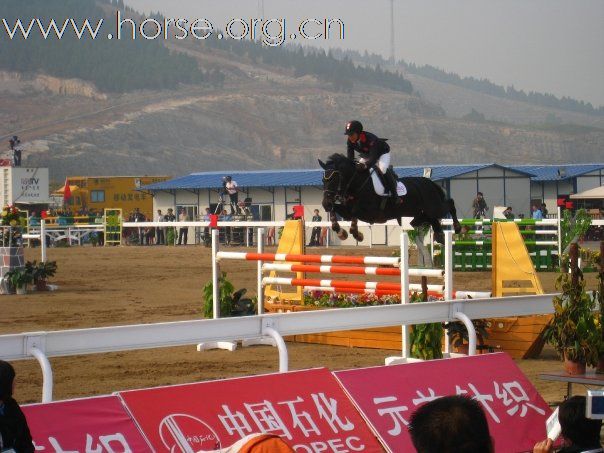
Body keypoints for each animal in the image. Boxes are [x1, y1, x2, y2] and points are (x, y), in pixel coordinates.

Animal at [320, 153, 462, 245]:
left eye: (334, 179)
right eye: (323, 180)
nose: (325, 204)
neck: (359, 183)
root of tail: (430, 183)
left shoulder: (370, 214)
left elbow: (354, 213)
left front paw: (356, 234)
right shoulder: (347, 211)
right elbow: (337, 210)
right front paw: (341, 232)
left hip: (434, 207)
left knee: (450, 204)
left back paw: (458, 228)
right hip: (420, 213)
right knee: (429, 220)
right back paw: (439, 236)